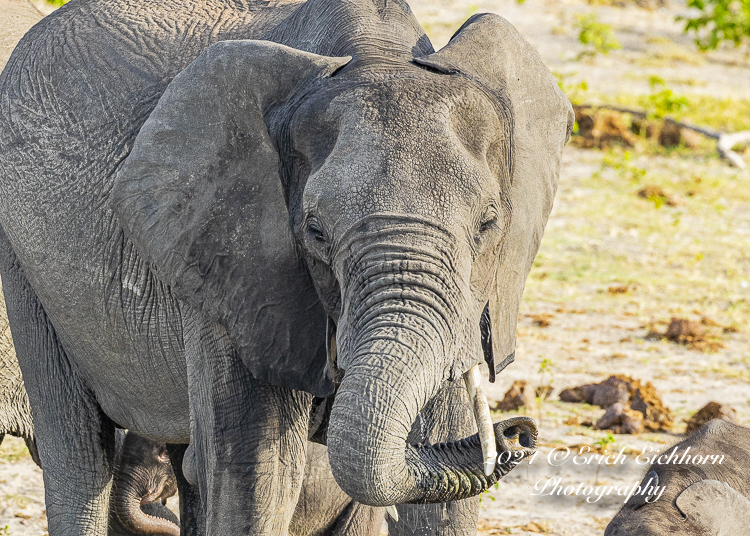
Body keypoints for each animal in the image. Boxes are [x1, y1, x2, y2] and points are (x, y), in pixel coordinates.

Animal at [0, 0, 572, 532]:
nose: (517, 432)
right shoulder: (231, 256)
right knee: (78, 452)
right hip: (22, 262)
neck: (378, 53)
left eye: (488, 224)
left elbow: (442, 490)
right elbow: (261, 472)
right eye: (315, 231)